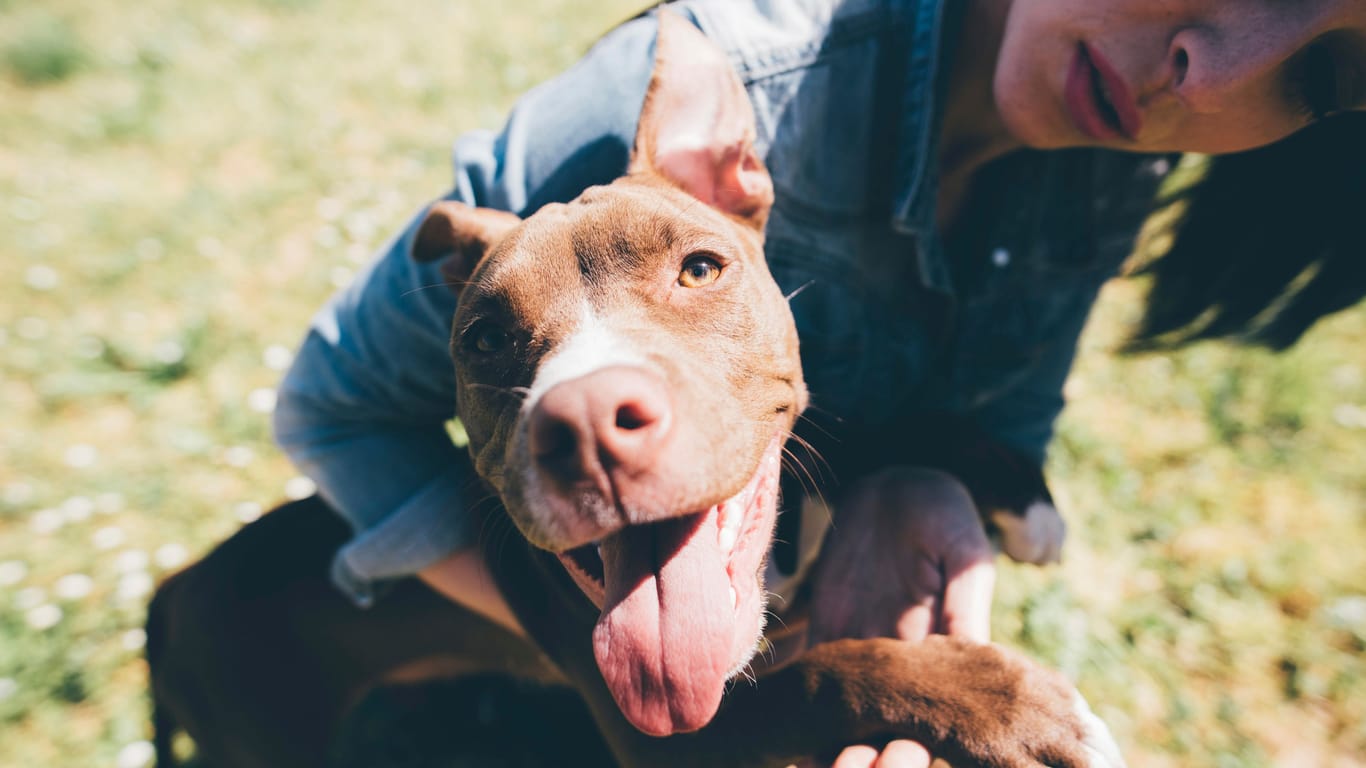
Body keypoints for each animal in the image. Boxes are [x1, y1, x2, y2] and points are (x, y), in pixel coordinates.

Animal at [149, 11, 1125, 765]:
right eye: (484, 339)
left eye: (700, 268)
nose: (586, 423)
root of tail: (170, 592)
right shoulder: (672, 731)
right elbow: (827, 674)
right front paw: (1004, 702)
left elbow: (879, 424)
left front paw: (1019, 491)